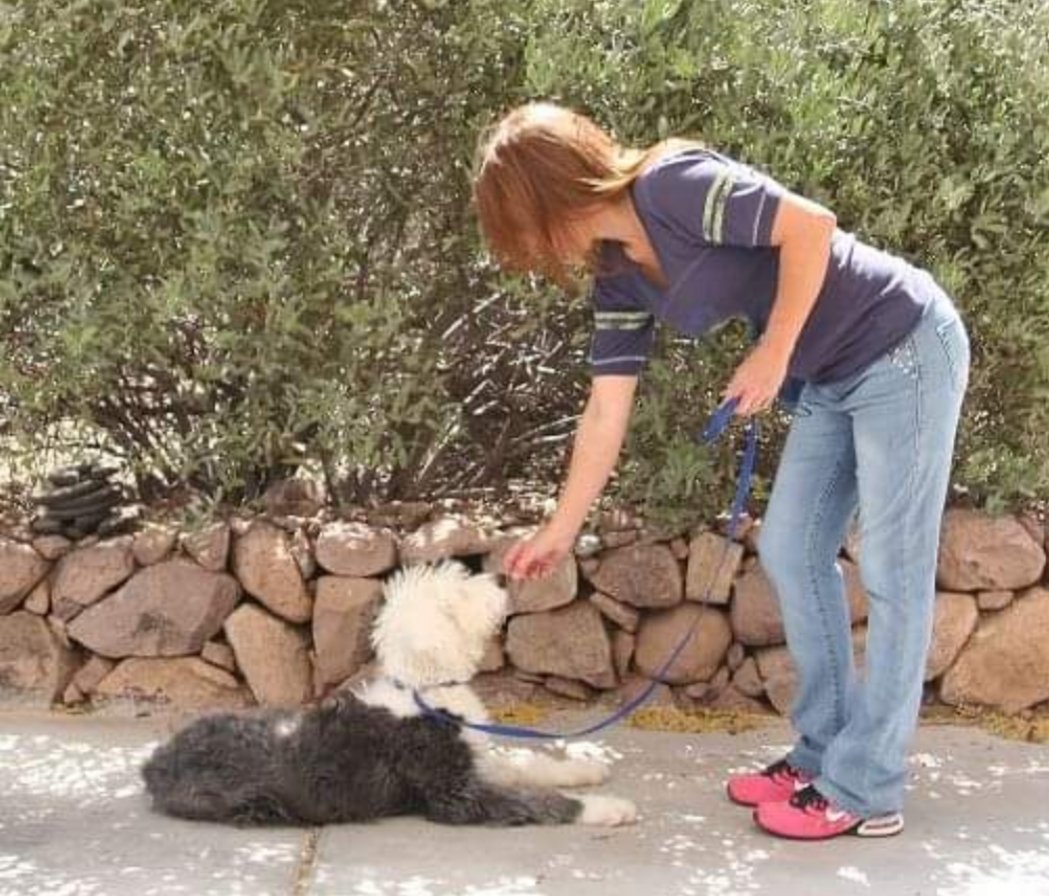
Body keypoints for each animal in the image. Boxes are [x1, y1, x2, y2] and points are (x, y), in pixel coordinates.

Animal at [141, 561, 638, 827]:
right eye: (459, 591)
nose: (501, 579)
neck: (424, 691)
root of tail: (155, 764)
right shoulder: (455, 793)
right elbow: (539, 801)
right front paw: (608, 807)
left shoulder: (472, 755)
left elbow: (526, 763)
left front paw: (583, 768)